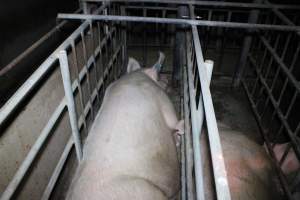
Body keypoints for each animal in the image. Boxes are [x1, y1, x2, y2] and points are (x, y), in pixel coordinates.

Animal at [65, 52, 183, 200]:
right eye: (159, 76)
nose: (167, 78)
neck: (137, 76)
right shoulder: (162, 100)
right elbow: (174, 122)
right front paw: (182, 129)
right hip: (146, 192)